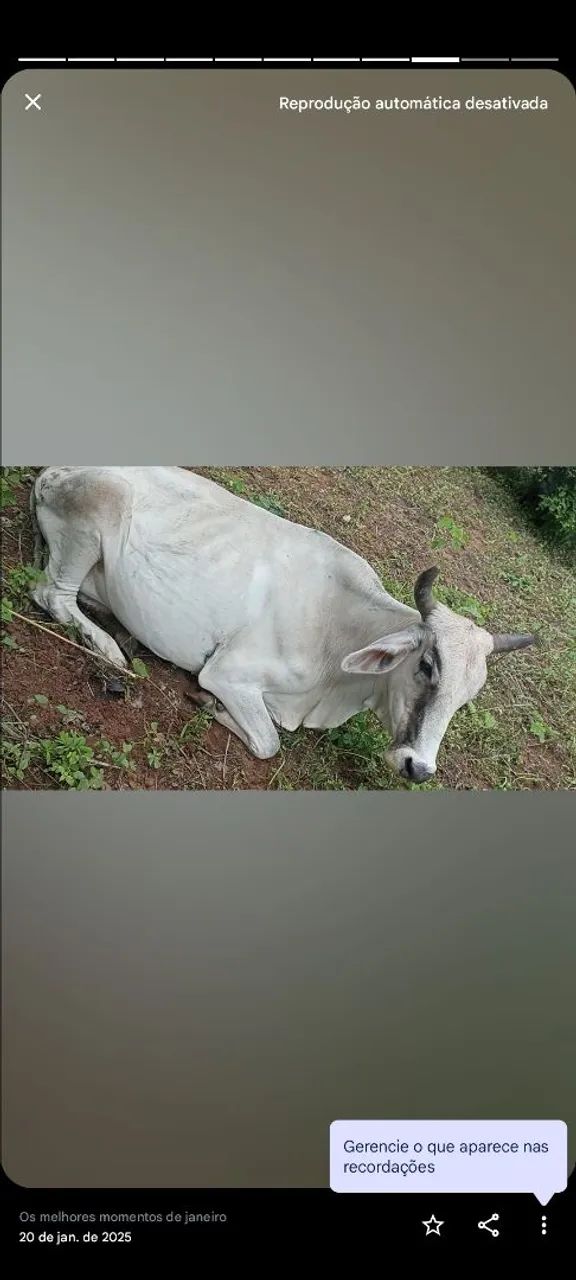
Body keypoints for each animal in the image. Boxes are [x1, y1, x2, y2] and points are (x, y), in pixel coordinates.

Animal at [29, 466, 537, 784]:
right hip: (99, 513)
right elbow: (269, 742)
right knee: (50, 594)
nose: (420, 768)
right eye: (427, 665)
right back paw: (109, 647)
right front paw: (209, 704)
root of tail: (57, 472)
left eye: (468, 698)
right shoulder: (227, 673)